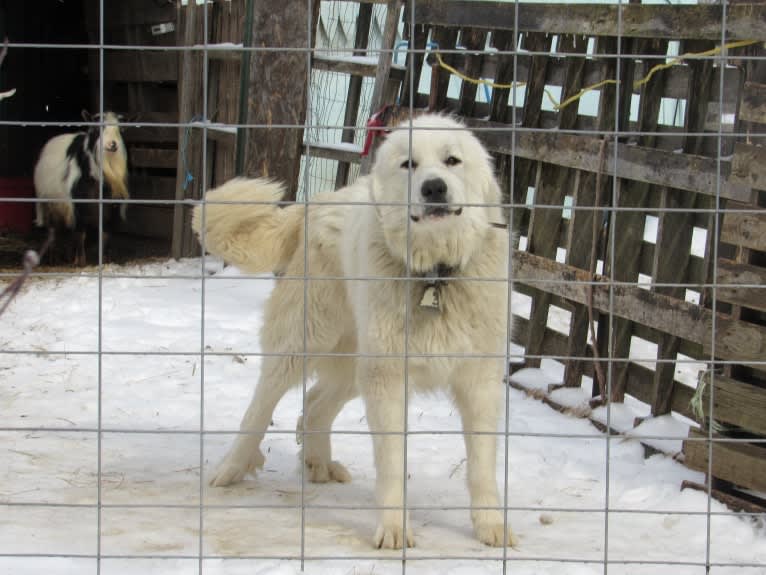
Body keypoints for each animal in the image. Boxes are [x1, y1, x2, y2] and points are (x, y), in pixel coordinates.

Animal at [34, 111, 130, 266]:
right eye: (97, 128)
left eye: (121, 130)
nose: (112, 144)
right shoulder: (78, 206)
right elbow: (80, 234)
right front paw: (80, 261)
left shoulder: (111, 209)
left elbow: (105, 234)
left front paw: (105, 260)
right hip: (50, 205)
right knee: (53, 230)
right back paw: (53, 258)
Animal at [192, 112, 516, 548]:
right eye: (409, 164)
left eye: (452, 160)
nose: (434, 187)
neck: (434, 275)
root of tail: (314, 204)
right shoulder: (388, 378)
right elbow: (392, 462)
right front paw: (394, 529)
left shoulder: (478, 381)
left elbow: (482, 464)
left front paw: (489, 525)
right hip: (304, 342)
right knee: (261, 406)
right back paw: (231, 467)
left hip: (353, 363)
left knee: (314, 404)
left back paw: (319, 463)